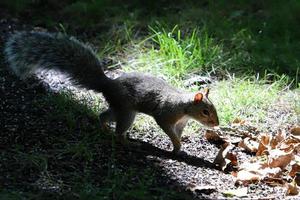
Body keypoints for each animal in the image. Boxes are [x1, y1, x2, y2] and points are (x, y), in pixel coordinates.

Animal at [3, 31, 219, 154]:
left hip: (118, 108)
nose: (216, 124)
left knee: (103, 115)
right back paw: (127, 143)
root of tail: (108, 84)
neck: (184, 107)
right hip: (127, 112)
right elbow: (167, 128)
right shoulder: (165, 116)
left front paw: (178, 145)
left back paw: (104, 128)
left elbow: (178, 134)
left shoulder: (180, 123)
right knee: (119, 131)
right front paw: (176, 146)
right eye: (205, 111)